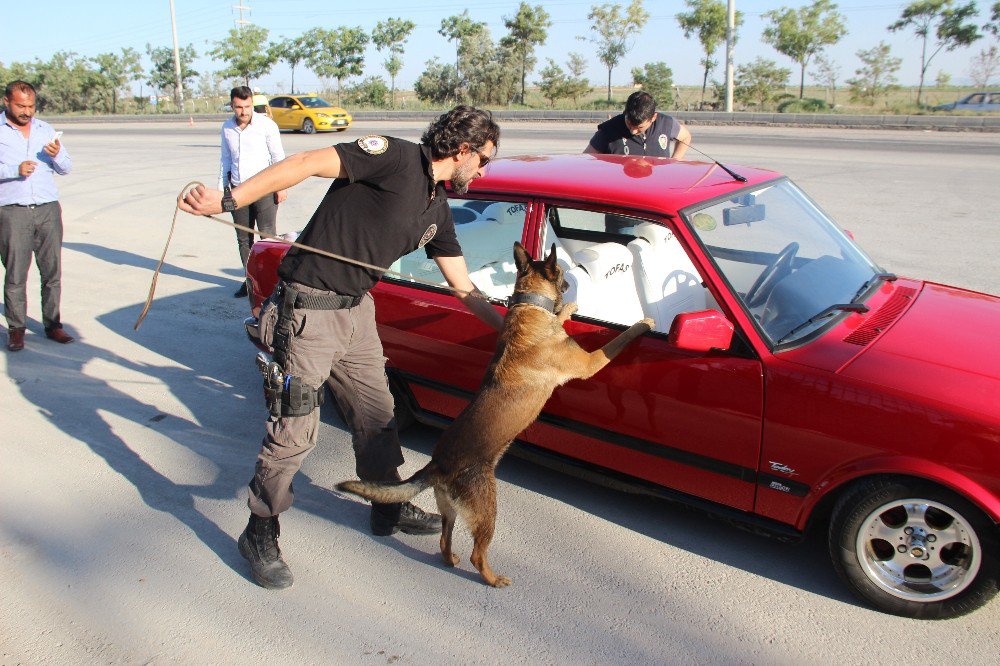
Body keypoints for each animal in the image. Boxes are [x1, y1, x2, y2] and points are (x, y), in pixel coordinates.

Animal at [336, 241, 652, 584]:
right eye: (562, 272)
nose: (570, 285)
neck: (528, 306)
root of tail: (438, 464)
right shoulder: (590, 363)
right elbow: (618, 341)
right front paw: (642, 324)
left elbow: (560, 316)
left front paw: (566, 310)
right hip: (488, 509)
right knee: (477, 553)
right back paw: (493, 579)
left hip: (450, 509)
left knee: (444, 540)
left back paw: (451, 559)